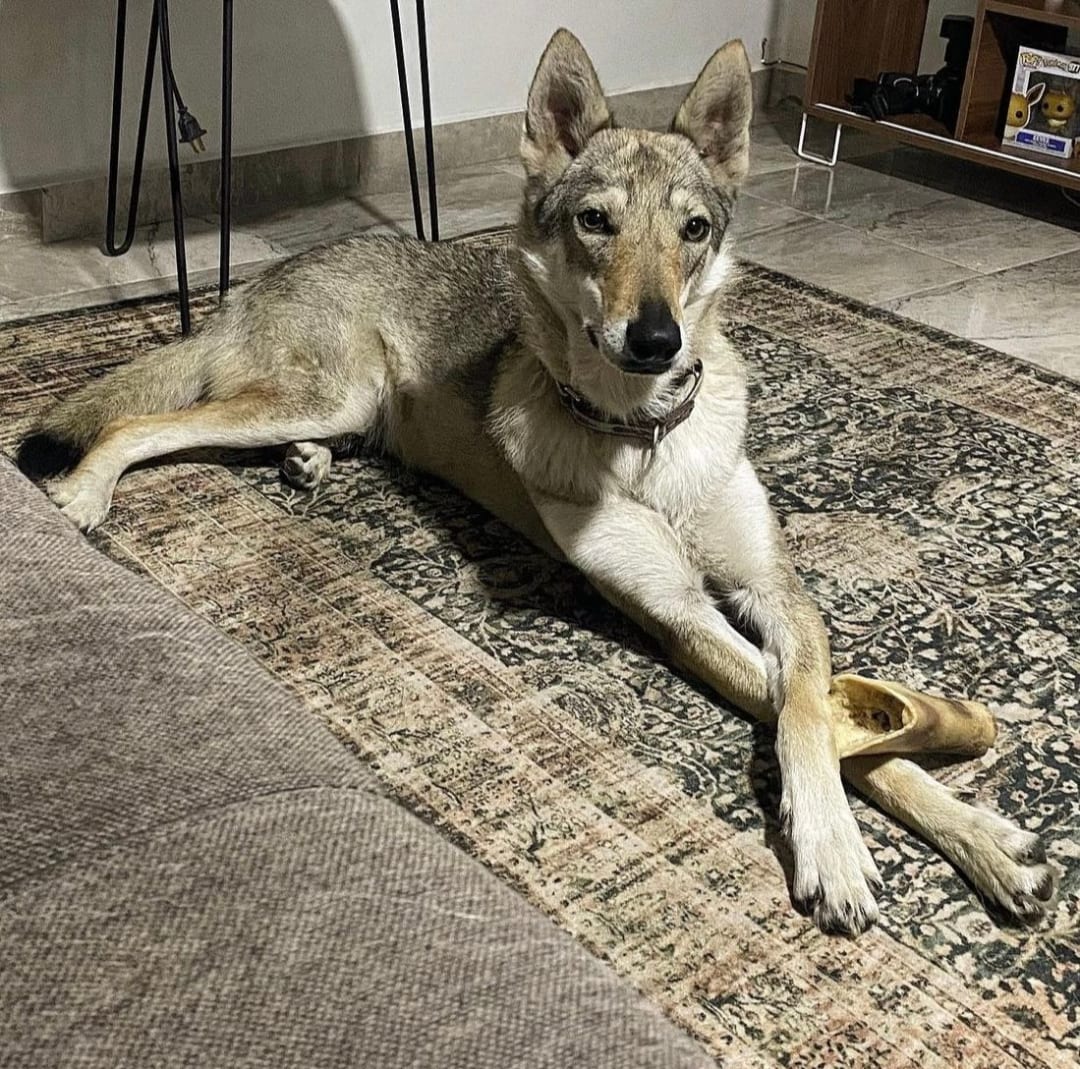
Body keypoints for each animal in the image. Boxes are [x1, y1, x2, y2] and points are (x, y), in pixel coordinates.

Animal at [17, 30, 1055, 934]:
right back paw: (82, 495)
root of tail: (259, 280)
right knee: (142, 424)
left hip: (333, 409)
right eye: (596, 222)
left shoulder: (777, 592)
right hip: (315, 393)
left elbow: (820, 714)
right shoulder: (678, 614)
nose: (656, 339)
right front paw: (841, 848)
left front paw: (980, 833)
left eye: (693, 230)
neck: (646, 442)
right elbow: (821, 724)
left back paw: (304, 465)